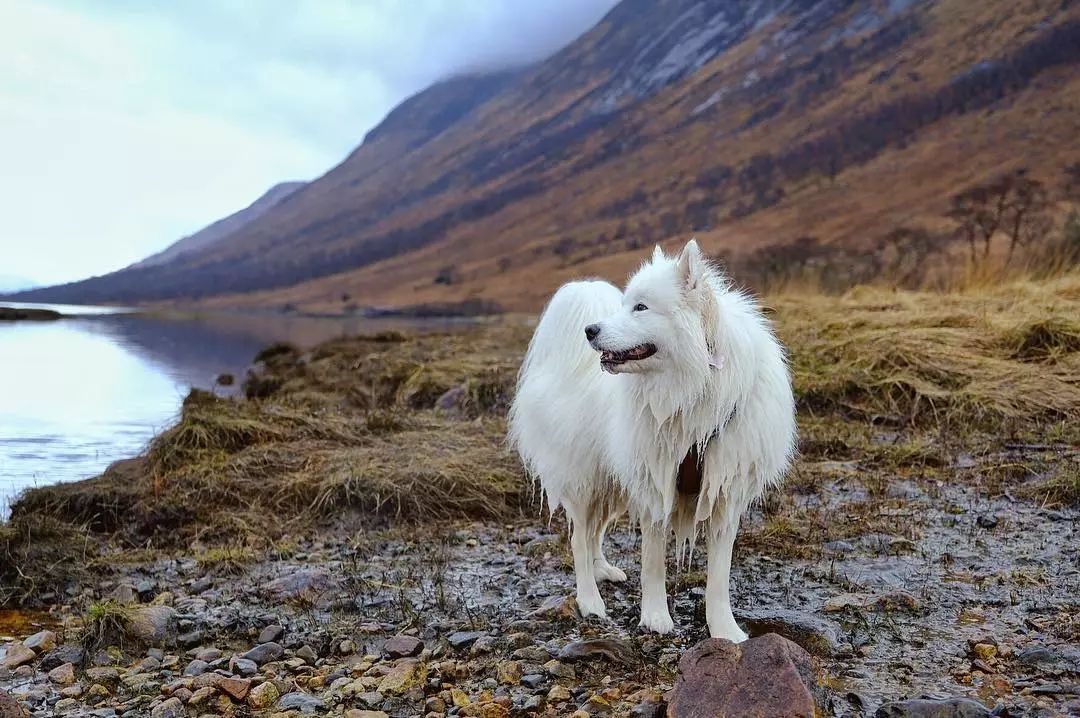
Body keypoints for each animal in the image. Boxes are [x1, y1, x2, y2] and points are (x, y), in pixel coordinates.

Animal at [505, 239, 794, 639]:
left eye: (640, 308)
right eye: (627, 304)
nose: (590, 330)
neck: (693, 392)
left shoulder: (724, 494)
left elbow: (719, 577)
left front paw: (724, 630)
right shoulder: (656, 484)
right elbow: (653, 563)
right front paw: (656, 618)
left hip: (610, 483)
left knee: (593, 532)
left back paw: (602, 569)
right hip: (584, 479)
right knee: (578, 538)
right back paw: (590, 600)